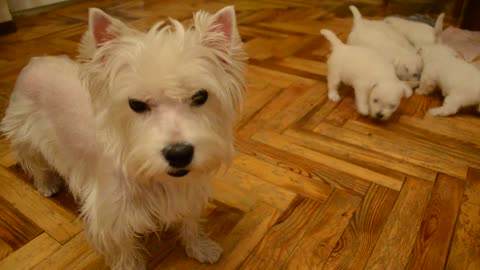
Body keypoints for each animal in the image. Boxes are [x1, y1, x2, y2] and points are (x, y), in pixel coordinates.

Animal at [0, 6, 248, 270]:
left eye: (201, 96)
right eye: (136, 104)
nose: (179, 154)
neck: (156, 179)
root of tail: (35, 60)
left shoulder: (187, 193)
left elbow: (190, 223)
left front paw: (202, 248)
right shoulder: (111, 216)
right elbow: (123, 249)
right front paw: (130, 265)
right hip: (25, 134)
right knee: (34, 162)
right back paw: (47, 184)